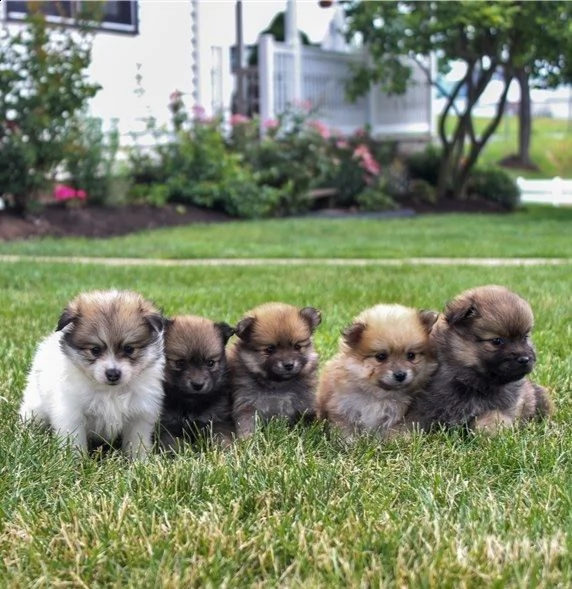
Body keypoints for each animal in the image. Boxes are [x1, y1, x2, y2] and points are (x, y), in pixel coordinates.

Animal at [18, 288, 165, 458]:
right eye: (95, 350)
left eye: (129, 349)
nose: (113, 373)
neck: (110, 391)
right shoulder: (71, 413)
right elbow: (74, 441)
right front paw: (75, 461)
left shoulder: (139, 414)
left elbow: (136, 441)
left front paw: (140, 460)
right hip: (35, 407)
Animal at [159, 314, 235, 448]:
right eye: (180, 363)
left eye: (210, 363)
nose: (198, 384)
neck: (192, 404)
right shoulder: (167, 425)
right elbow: (171, 442)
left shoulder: (219, 421)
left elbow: (221, 437)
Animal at [228, 304, 322, 436]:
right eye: (269, 349)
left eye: (297, 347)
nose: (289, 365)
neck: (278, 385)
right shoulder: (247, 403)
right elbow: (246, 424)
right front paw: (247, 439)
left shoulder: (305, 403)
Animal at [318, 306, 438, 438]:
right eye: (381, 357)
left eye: (411, 355)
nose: (400, 375)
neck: (379, 395)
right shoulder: (344, 408)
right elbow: (347, 431)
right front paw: (349, 442)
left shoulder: (401, 416)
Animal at [404, 284, 552, 432]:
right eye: (497, 341)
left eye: (525, 338)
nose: (525, 359)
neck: (471, 382)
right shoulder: (426, 402)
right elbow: (413, 420)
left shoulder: (503, 407)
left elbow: (488, 420)